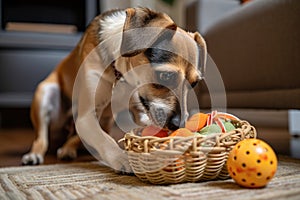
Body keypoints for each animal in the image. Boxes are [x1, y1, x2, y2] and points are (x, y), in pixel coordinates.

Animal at [21, 7, 206, 171]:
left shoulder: (140, 113)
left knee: (77, 137)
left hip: (103, 120)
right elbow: (105, 140)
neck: (119, 72)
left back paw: (68, 148)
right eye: (166, 76)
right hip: (45, 93)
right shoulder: (86, 116)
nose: (179, 124)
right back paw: (34, 155)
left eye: (194, 84)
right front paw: (121, 158)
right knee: (41, 138)